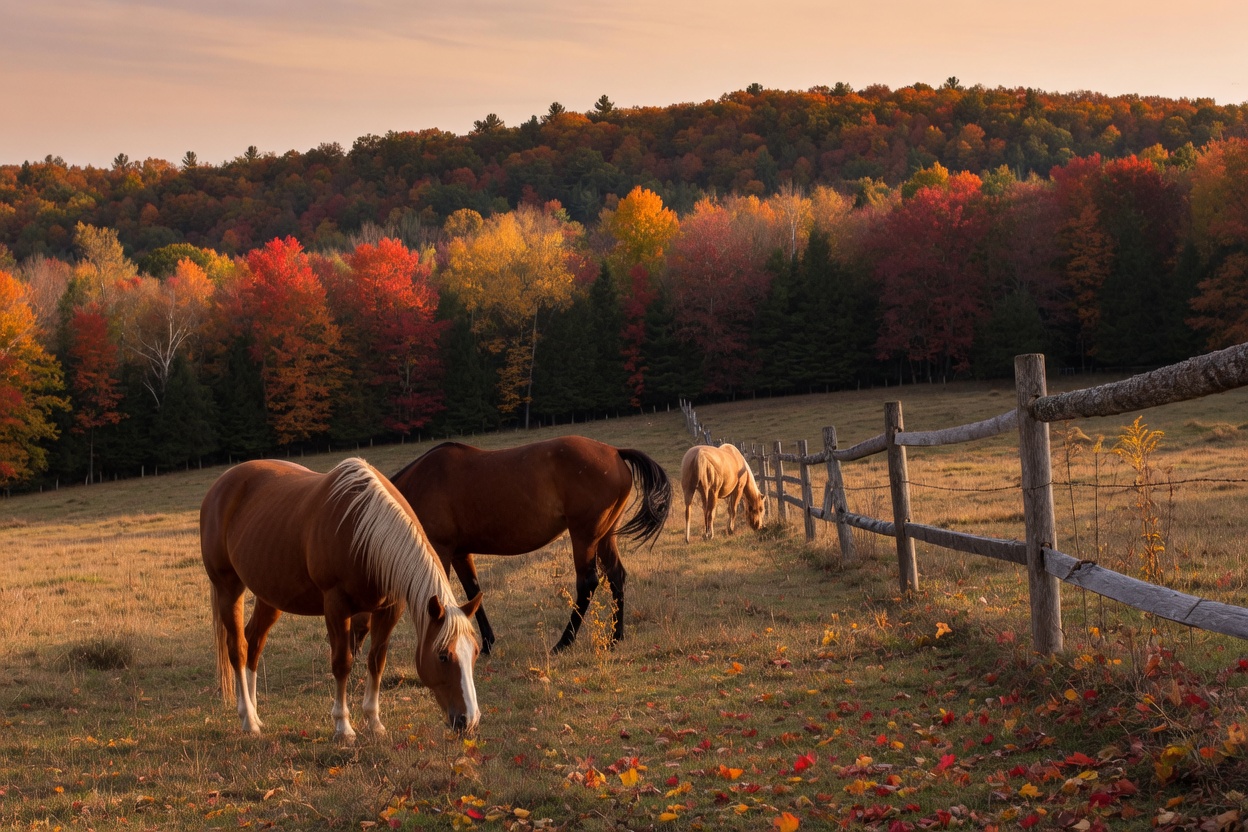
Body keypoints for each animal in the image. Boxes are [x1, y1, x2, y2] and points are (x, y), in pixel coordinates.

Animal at [200, 457, 482, 742]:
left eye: (475, 653)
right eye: (443, 656)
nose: (469, 721)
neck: (364, 533)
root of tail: (220, 485)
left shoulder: (389, 609)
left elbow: (376, 661)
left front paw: (374, 721)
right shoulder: (336, 606)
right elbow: (342, 663)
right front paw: (343, 727)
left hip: (269, 597)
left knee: (254, 643)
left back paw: (255, 713)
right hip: (228, 588)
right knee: (238, 648)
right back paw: (248, 719)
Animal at [388, 436, 671, 654]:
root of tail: (614, 451)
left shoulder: (441, 550)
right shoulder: (459, 553)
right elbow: (473, 592)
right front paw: (487, 643)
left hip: (585, 537)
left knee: (587, 584)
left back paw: (564, 642)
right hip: (604, 536)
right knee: (616, 577)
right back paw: (615, 638)